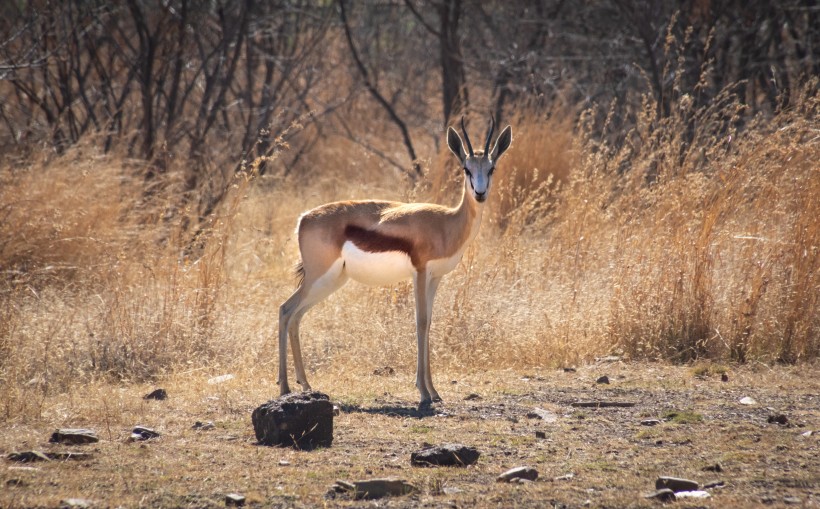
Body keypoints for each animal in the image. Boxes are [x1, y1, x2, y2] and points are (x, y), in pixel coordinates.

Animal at [280, 115, 512, 404]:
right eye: (466, 169)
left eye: (491, 168)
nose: (480, 194)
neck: (447, 223)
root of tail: (304, 218)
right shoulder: (420, 272)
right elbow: (420, 321)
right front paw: (423, 392)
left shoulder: (435, 277)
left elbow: (429, 322)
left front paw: (434, 391)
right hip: (317, 277)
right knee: (285, 310)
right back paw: (284, 387)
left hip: (331, 280)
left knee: (296, 316)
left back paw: (305, 385)